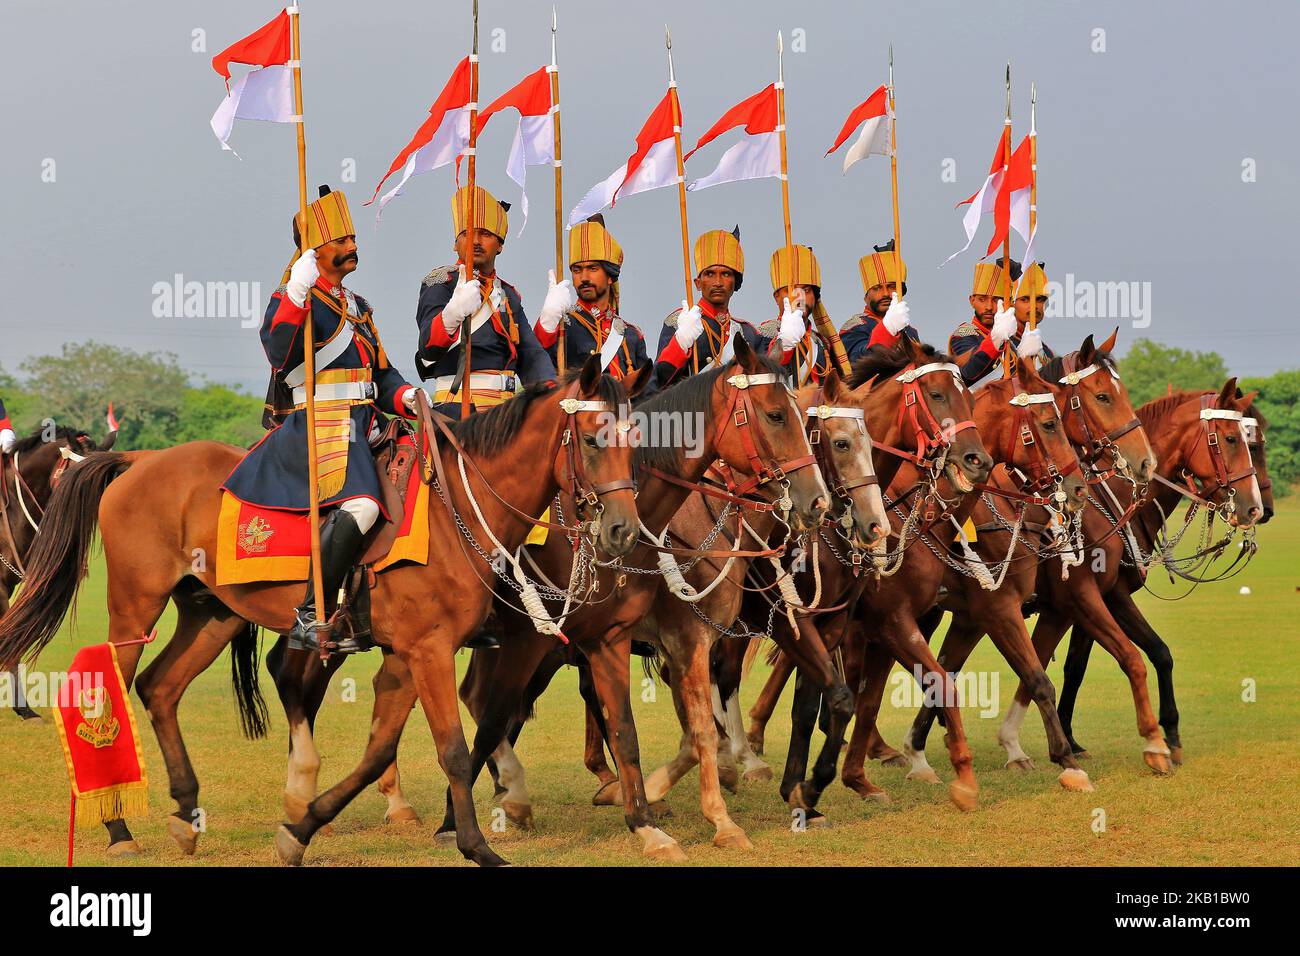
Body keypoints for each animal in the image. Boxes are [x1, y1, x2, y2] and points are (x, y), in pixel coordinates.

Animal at [0, 356, 644, 868]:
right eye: (592, 440)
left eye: (634, 442)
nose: (621, 531)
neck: (458, 507)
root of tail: (138, 462)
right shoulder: (429, 650)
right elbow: (456, 752)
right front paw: (477, 847)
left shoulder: (407, 655)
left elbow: (379, 750)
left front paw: (302, 828)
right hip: (135, 610)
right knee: (108, 691)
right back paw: (118, 826)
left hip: (212, 616)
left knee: (161, 687)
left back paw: (185, 815)